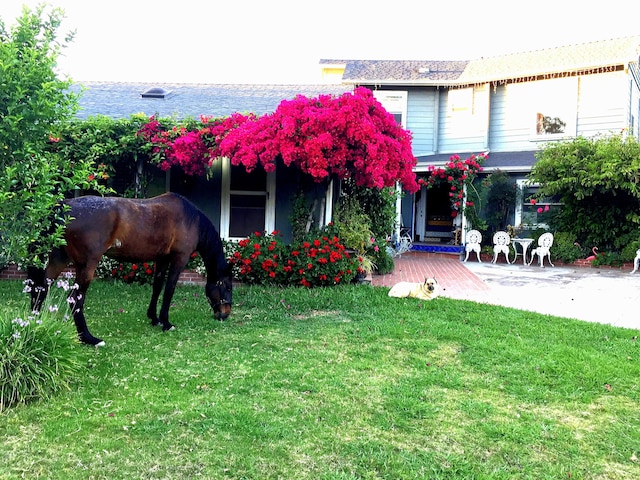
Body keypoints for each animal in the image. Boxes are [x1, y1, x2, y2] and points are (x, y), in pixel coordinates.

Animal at [28, 193, 232, 346]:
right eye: (227, 286)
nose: (225, 314)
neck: (191, 219)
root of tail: (65, 205)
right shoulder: (179, 259)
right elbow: (169, 290)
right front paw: (166, 322)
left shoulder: (162, 259)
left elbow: (157, 287)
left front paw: (154, 318)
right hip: (86, 265)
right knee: (75, 299)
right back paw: (89, 339)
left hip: (59, 257)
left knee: (42, 288)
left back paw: (35, 323)